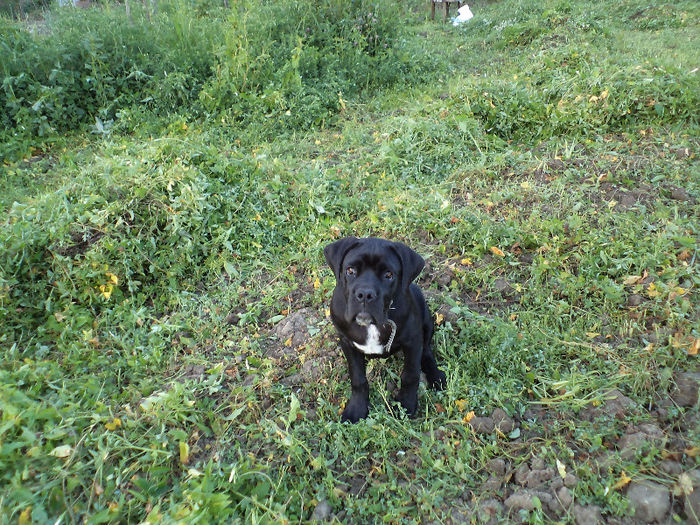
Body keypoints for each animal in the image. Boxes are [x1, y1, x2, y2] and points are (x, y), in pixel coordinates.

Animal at [324, 236, 446, 422]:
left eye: (388, 275)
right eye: (350, 270)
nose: (365, 294)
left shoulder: (413, 341)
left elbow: (410, 375)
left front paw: (405, 405)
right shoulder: (346, 341)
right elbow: (358, 378)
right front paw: (357, 408)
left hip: (426, 321)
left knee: (426, 351)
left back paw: (436, 376)